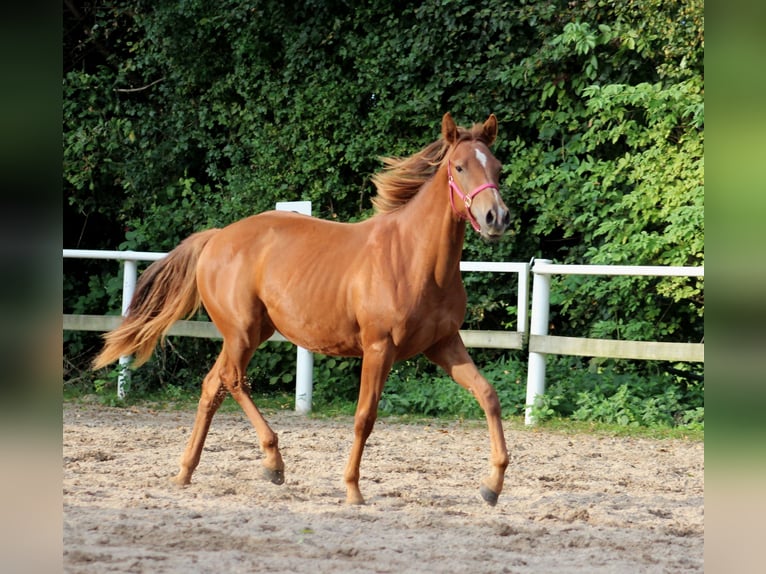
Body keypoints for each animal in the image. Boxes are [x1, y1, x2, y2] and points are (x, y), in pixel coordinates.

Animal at [93, 112, 512, 508]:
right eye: (459, 166)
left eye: (497, 167)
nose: (496, 217)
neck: (414, 258)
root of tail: (215, 238)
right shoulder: (379, 348)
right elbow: (365, 417)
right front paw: (352, 489)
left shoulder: (443, 344)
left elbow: (488, 395)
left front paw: (492, 486)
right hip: (242, 331)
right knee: (232, 380)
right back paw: (272, 463)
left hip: (251, 333)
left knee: (213, 385)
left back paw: (186, 471)